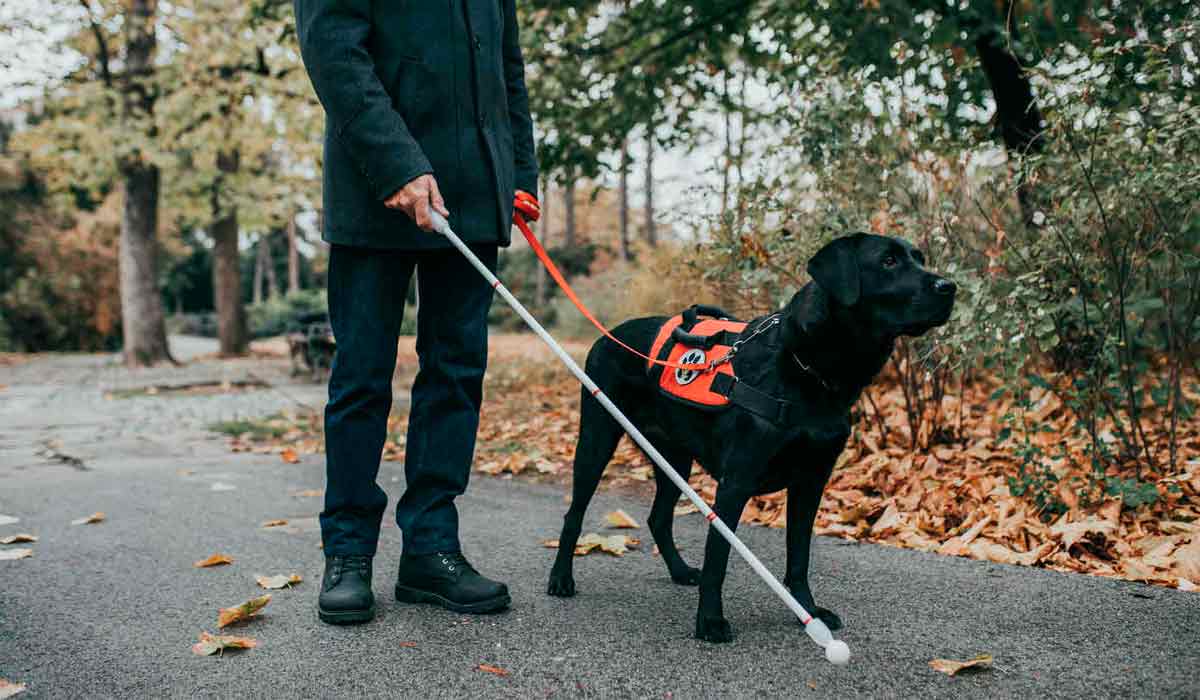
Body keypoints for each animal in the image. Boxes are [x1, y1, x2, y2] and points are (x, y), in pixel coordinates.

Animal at [549, 232, 955, 643]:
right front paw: (710, 621)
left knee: (658, 518)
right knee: (574, 514)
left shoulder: (811, 481)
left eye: (919, 258)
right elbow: (719, 558)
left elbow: (799, 556)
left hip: (674, 458)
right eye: (888, 261)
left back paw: (680, 571)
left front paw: (808, 611)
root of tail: (608, 335)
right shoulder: (736, 482)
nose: (950, 287)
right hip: (597, 439)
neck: (806, 367)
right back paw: (560, 578)